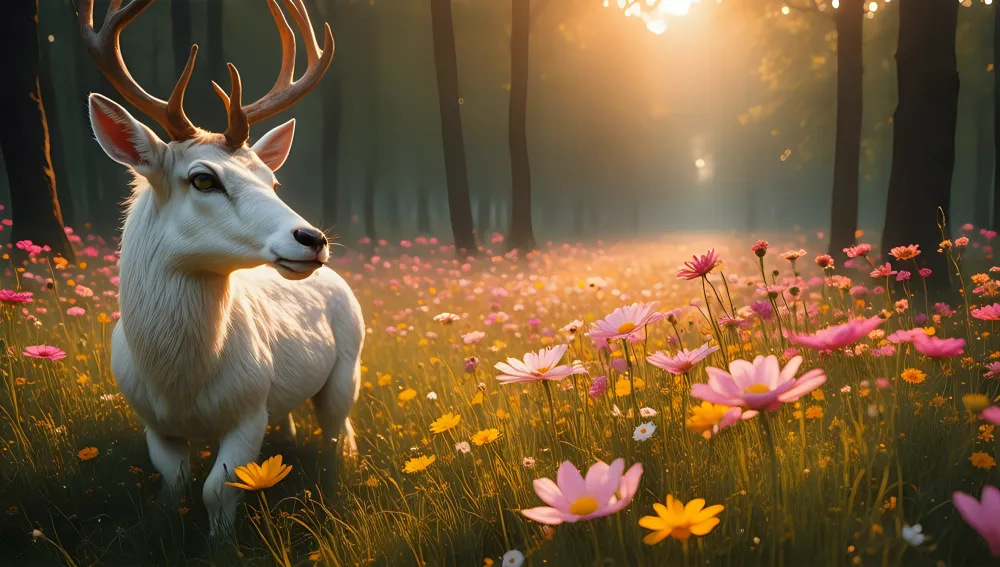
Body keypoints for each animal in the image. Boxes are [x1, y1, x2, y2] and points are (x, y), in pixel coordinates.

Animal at [78, 0, 364, 533]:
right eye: (203, 179)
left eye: (272, 180)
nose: (313, 239)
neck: (179, 386)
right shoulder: (152, 421)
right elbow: (173, 482)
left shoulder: (248, 410)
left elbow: (217, 489)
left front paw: (221, 541)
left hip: (348, 367)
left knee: (339, 432)